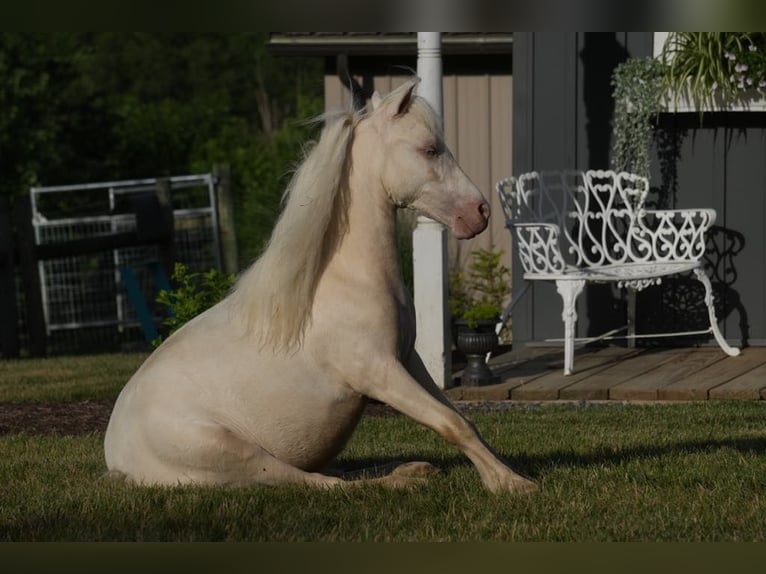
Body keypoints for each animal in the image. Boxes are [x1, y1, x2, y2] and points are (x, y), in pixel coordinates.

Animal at [105, 80, 536, 496]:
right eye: (430, 149)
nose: (479, 212)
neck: (348, 280)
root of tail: (117, 457)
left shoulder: (408, 360)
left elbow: (463, 419)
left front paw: (506, 474)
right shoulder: (380, 374)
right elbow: (450, 422)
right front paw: (512, 485)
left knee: (333, 472)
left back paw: (413, 468)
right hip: (241, 455)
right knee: (318, 482)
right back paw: (403, 479)